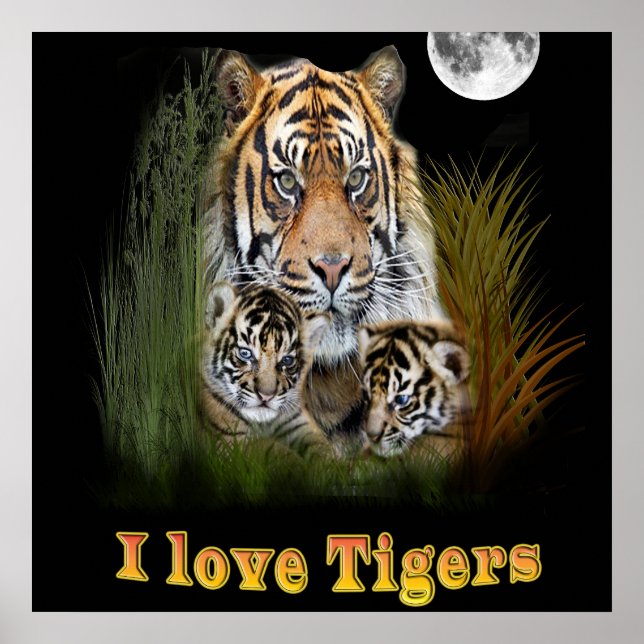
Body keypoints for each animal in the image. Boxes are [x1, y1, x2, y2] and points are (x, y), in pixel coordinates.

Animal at [201, 281, 330, 453]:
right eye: (245, 353)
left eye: (287, 360)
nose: (266, 396)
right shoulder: (230, 439)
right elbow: (275, 450)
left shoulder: (298, 420)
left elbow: (322, 448)